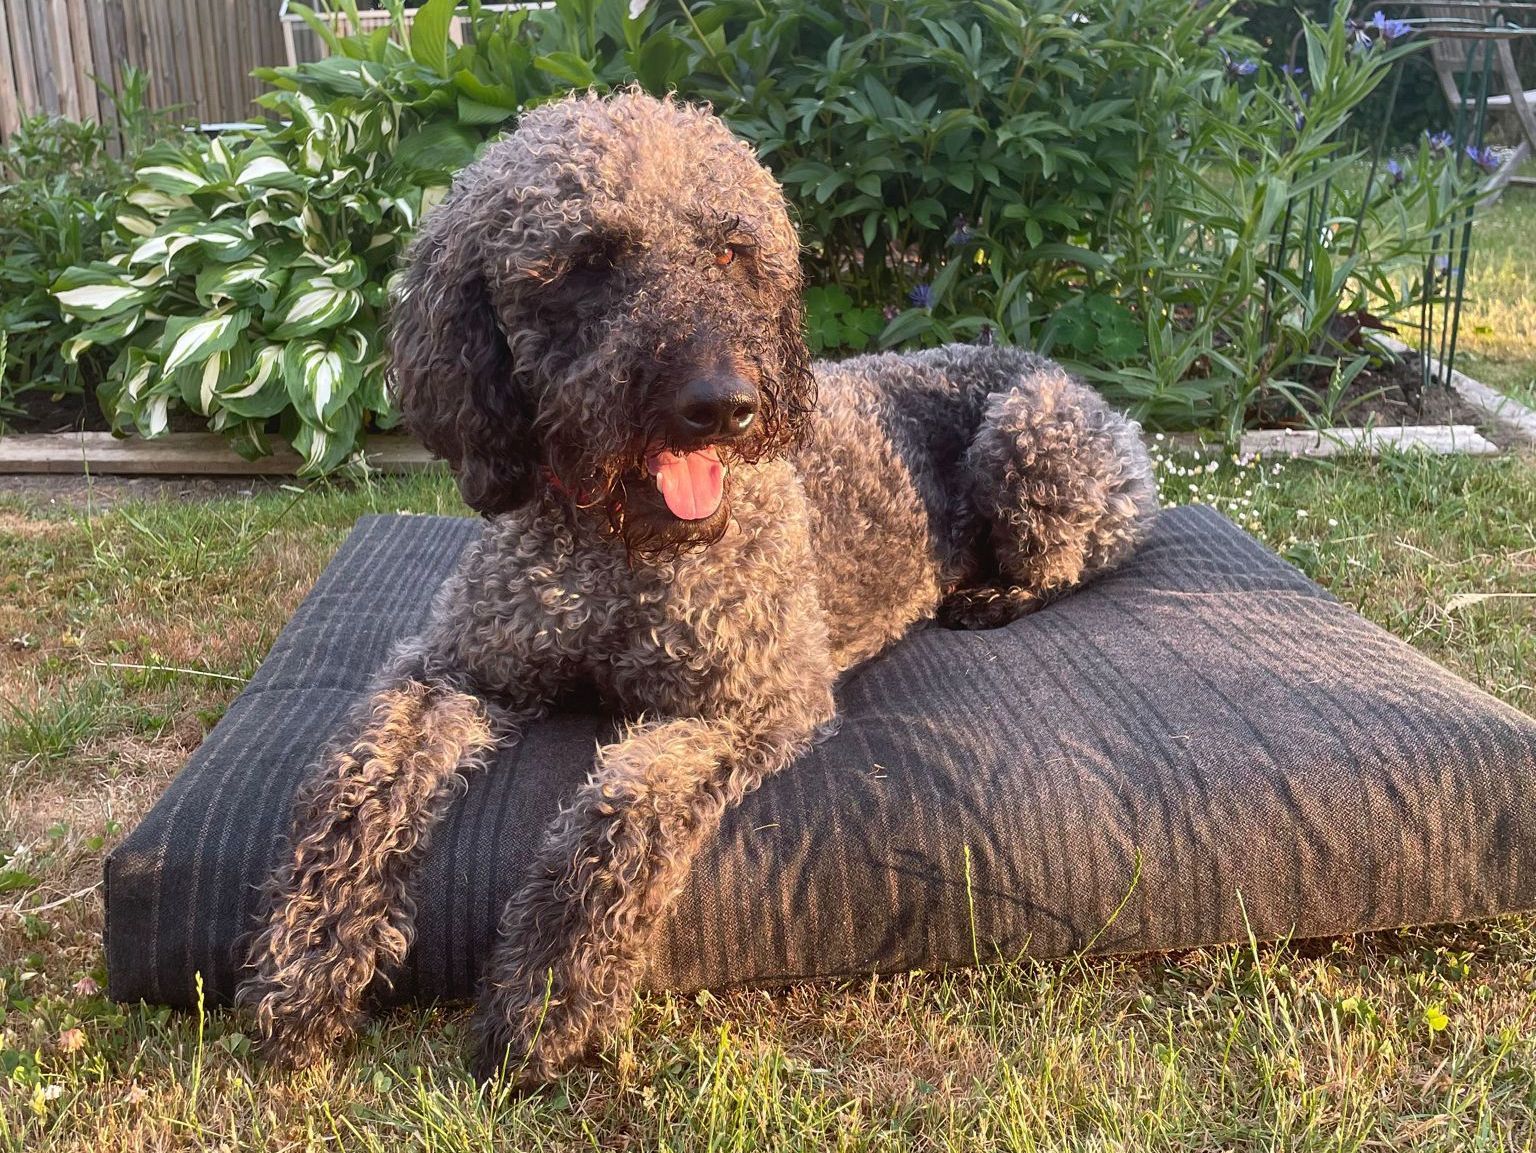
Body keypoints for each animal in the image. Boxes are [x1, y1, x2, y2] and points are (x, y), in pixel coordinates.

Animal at [236, 87, 1155, 1080]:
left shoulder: (750, 703)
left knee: (1078, 558)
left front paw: (549, 987)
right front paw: (310, 956)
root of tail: (1051, 368)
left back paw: (993, 594)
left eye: (731, 252)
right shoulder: (451, 668)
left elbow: (620, 810)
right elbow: (355, 783)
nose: (723, 406)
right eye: (588, 261)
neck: (621, 548)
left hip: (1031, 437)